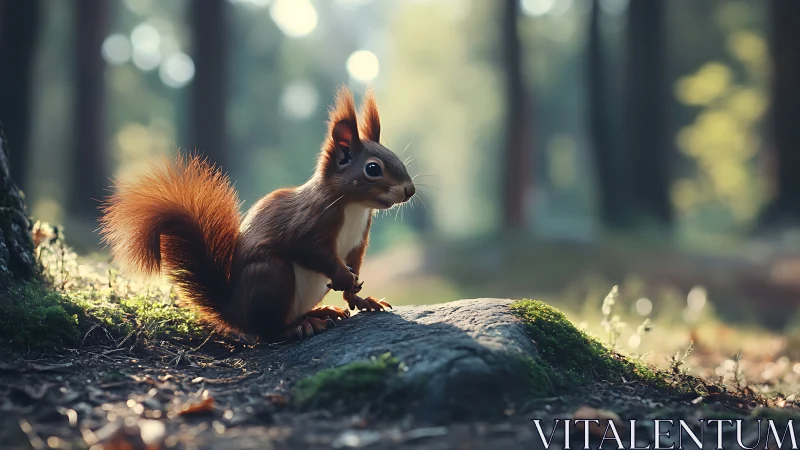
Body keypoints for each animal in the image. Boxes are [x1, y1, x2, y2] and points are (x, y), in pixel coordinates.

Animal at [99, 86, 415, 342]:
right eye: (373, 168)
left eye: (395, 157)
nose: (409, 190)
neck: (354, 207)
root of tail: (234, 311)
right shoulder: (310, 221)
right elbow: (309, 249)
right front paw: (344, 278)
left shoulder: (358, 239)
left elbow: (355, 264)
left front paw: (362, 299)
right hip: (271, 274)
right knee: (266, 331)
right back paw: (297, 328)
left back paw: (321, 312)